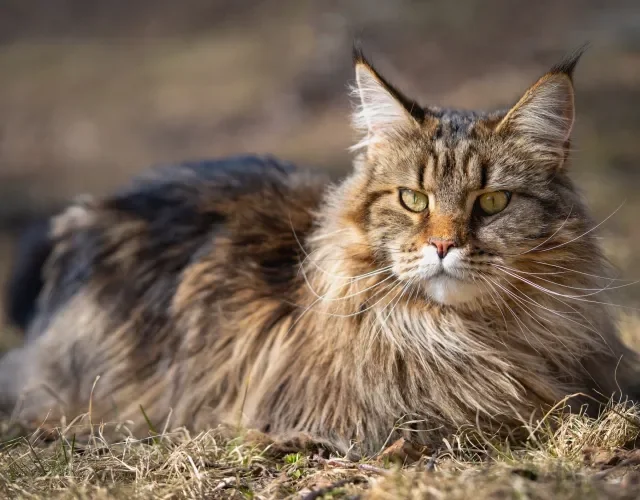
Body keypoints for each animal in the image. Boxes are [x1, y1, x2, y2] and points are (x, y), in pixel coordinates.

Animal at [1, 47, 640, 458]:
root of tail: (89, 210)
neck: (473, 335)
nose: (442, 244)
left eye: (493, 201)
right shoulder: (384, 422)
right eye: (412, 199)